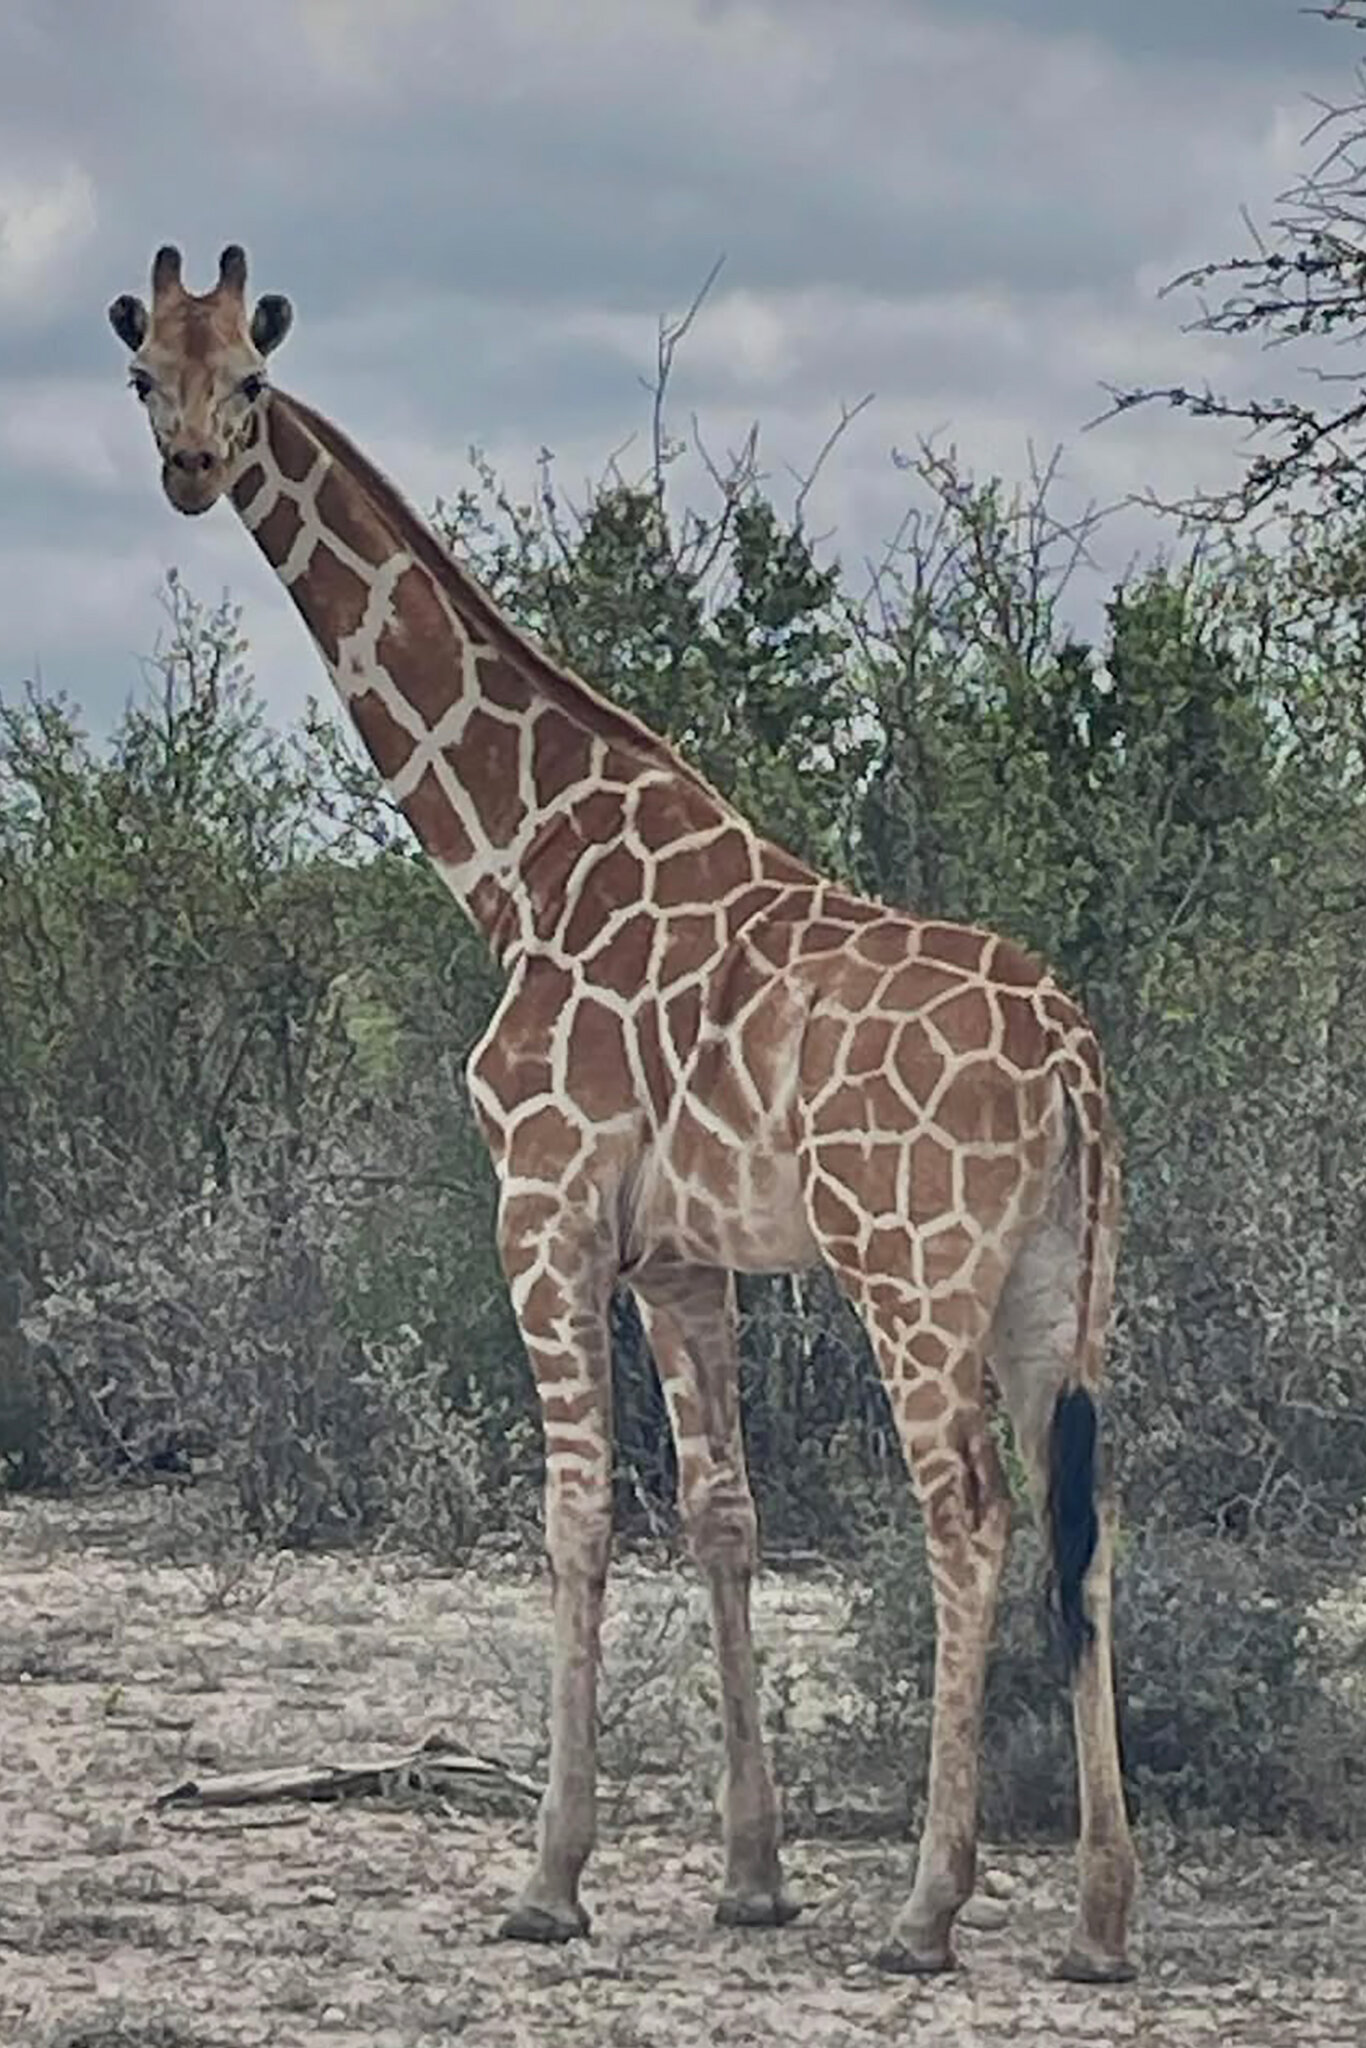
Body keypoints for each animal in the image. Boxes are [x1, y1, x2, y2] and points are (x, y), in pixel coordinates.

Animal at [108, 245, 1137, 1982]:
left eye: (248, 374)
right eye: (142, 376)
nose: (187, 469)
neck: (517, 858)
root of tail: (1069, 1057)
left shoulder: (543, 1205)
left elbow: (577, 1513)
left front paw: (548, 1878)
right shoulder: (680, 1254)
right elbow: (722, 1515)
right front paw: (751, 1875)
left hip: (912, 1271)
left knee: (970, 1517)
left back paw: (928, 1908)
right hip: (1061, 1287)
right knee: (1089, 1518)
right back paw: (1098, 1920)